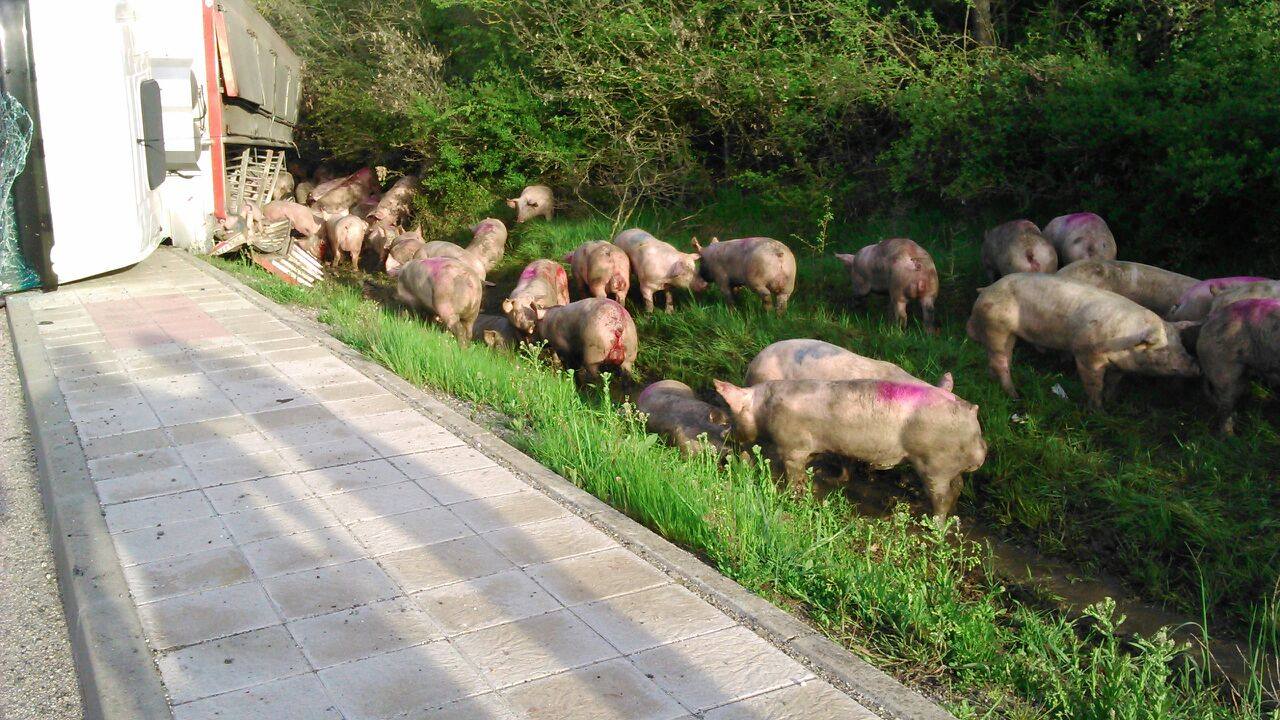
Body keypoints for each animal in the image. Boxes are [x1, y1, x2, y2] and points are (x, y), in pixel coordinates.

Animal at [716, 376, 983, 520]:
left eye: (732, 410)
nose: (723, 433)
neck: (763, 408)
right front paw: (820, 480)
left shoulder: (793, 446)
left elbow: (793, 472)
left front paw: (789, 494)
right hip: (948, 466)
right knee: (957, 486)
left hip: (935, 463)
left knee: (942, 496)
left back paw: (933, 525)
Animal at [967, 271, 1198, 404]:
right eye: (1162, 348)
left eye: (1181, 344)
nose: (1195, 365)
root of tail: (987, 289)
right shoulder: (1087, 354)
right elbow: (1094, 385)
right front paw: (1098, 410)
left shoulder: (1120, 366)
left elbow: (1113, 383)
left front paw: (1111, 403)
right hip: (998, 328)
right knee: (1001, 361)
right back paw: (1015, 396)